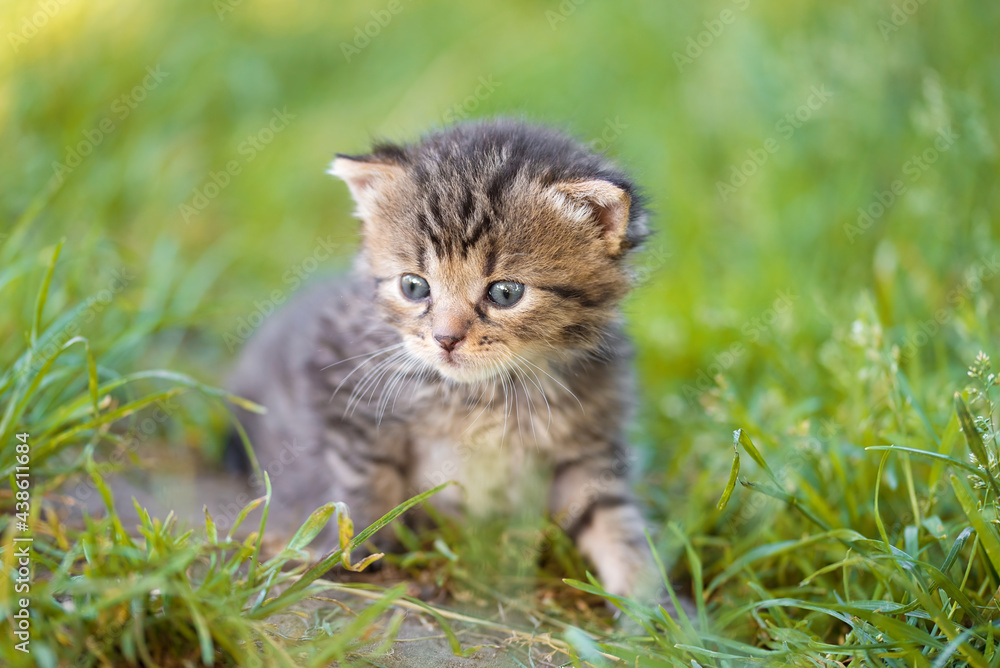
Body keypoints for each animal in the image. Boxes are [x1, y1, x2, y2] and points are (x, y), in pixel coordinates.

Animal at [230, 118, 660, 596]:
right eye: (414, 286)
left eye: (505, 293)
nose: (446, 338)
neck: (484, 394)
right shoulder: (343, 392)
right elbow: (362, 480)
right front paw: (352, 551)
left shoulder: (590, 441)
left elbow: (611, 514)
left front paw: (647, 600)